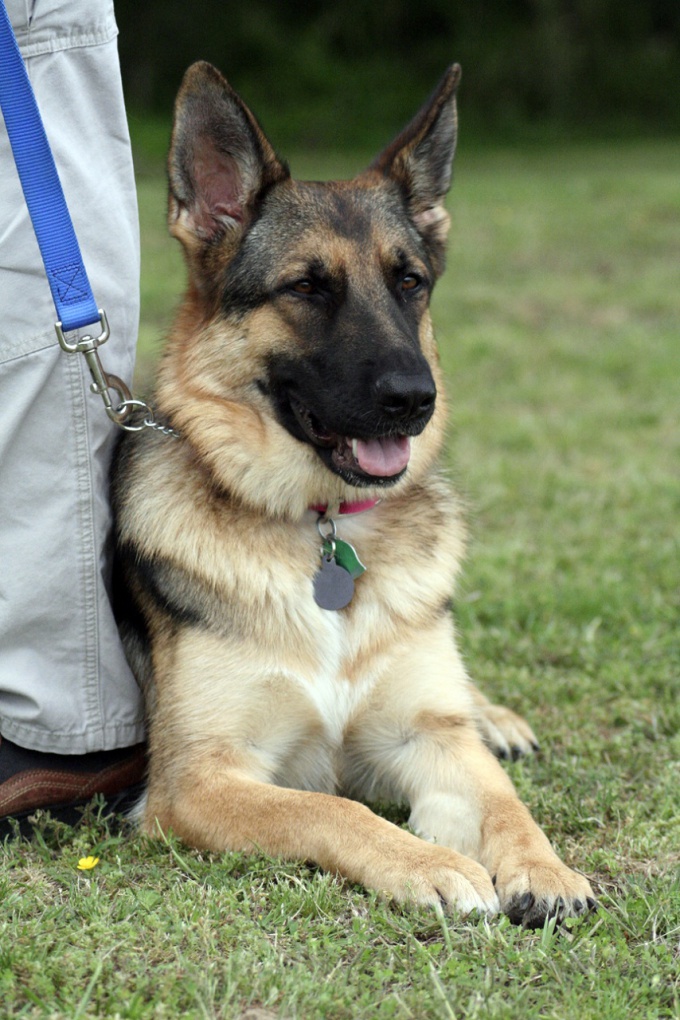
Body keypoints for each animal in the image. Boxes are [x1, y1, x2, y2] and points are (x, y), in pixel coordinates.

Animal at [113, 59, 595, 930]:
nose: (415, 398)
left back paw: (496, 717)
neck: (322, 527)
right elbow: (332, 808)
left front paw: (544, 867)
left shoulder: (429, 740)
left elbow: (504, 801)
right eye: (307, 288)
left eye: (410, 283)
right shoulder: (197, 780)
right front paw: (430, 865)